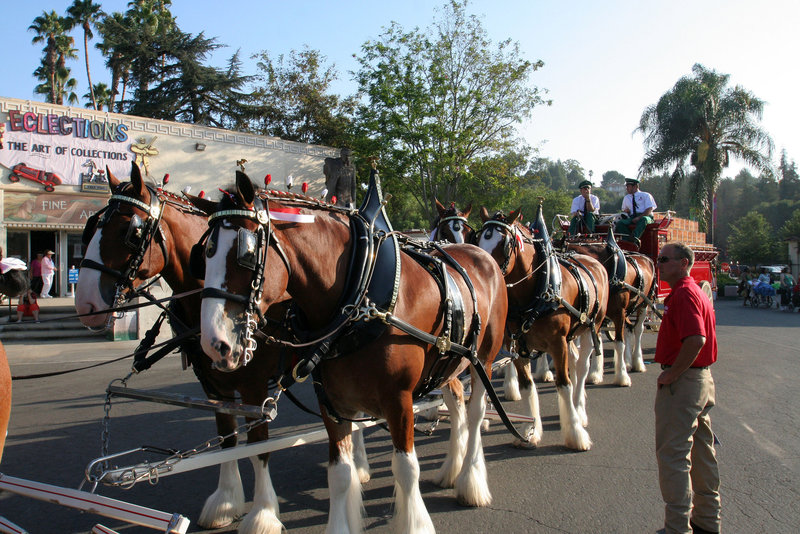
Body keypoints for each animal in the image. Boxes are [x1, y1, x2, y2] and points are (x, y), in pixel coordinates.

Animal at [194, 174, 506, 532]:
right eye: (204, 252)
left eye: (244, 253)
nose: (214, 342)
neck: (358, 293)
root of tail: (482, 255)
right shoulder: (332, 401)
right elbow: (340, 474)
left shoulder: (399, 398)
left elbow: (406, 468)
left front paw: (414, 522)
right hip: (448, 363)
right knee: (455, 405)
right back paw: (451, 471)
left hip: (483, 360)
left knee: (475, 412)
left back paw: (470, 481)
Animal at [476, 207, 608, 450]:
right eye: (479, 239)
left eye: (505, 243)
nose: (484, 271)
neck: (538, 292)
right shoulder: (518, 346)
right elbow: (527, 386)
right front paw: (531, 430)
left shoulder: (557, 343)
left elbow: (563, 384)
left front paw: (575, 434)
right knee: (575, 361)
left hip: (589, 327)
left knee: (582, 366)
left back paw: (579, 409)